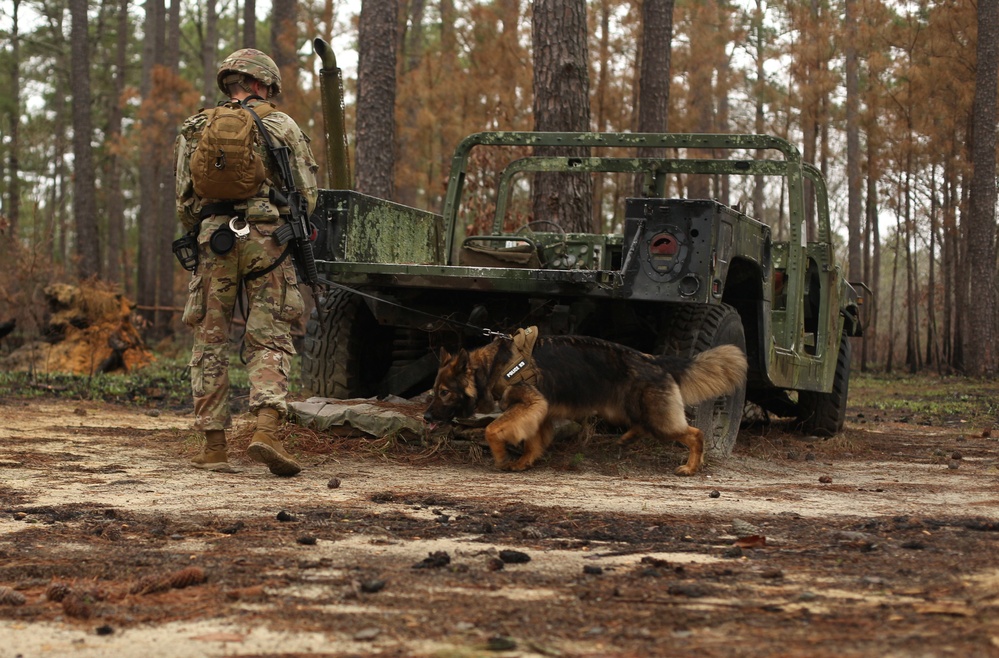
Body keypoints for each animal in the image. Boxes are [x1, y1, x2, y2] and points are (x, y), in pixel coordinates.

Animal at [424, 330, 752, 474]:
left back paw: (691, 466)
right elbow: (534, 442)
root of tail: (654, 359)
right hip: (622, 409)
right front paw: (525, 461)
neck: (491, 366)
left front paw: (503, 456)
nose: (426, 417)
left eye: (444, 392)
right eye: (434, 390)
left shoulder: (530, 405)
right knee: (641, 425)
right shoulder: (540, 412)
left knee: (695, 434)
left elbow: (493, 430)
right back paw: (628, 438)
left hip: (659, 419)